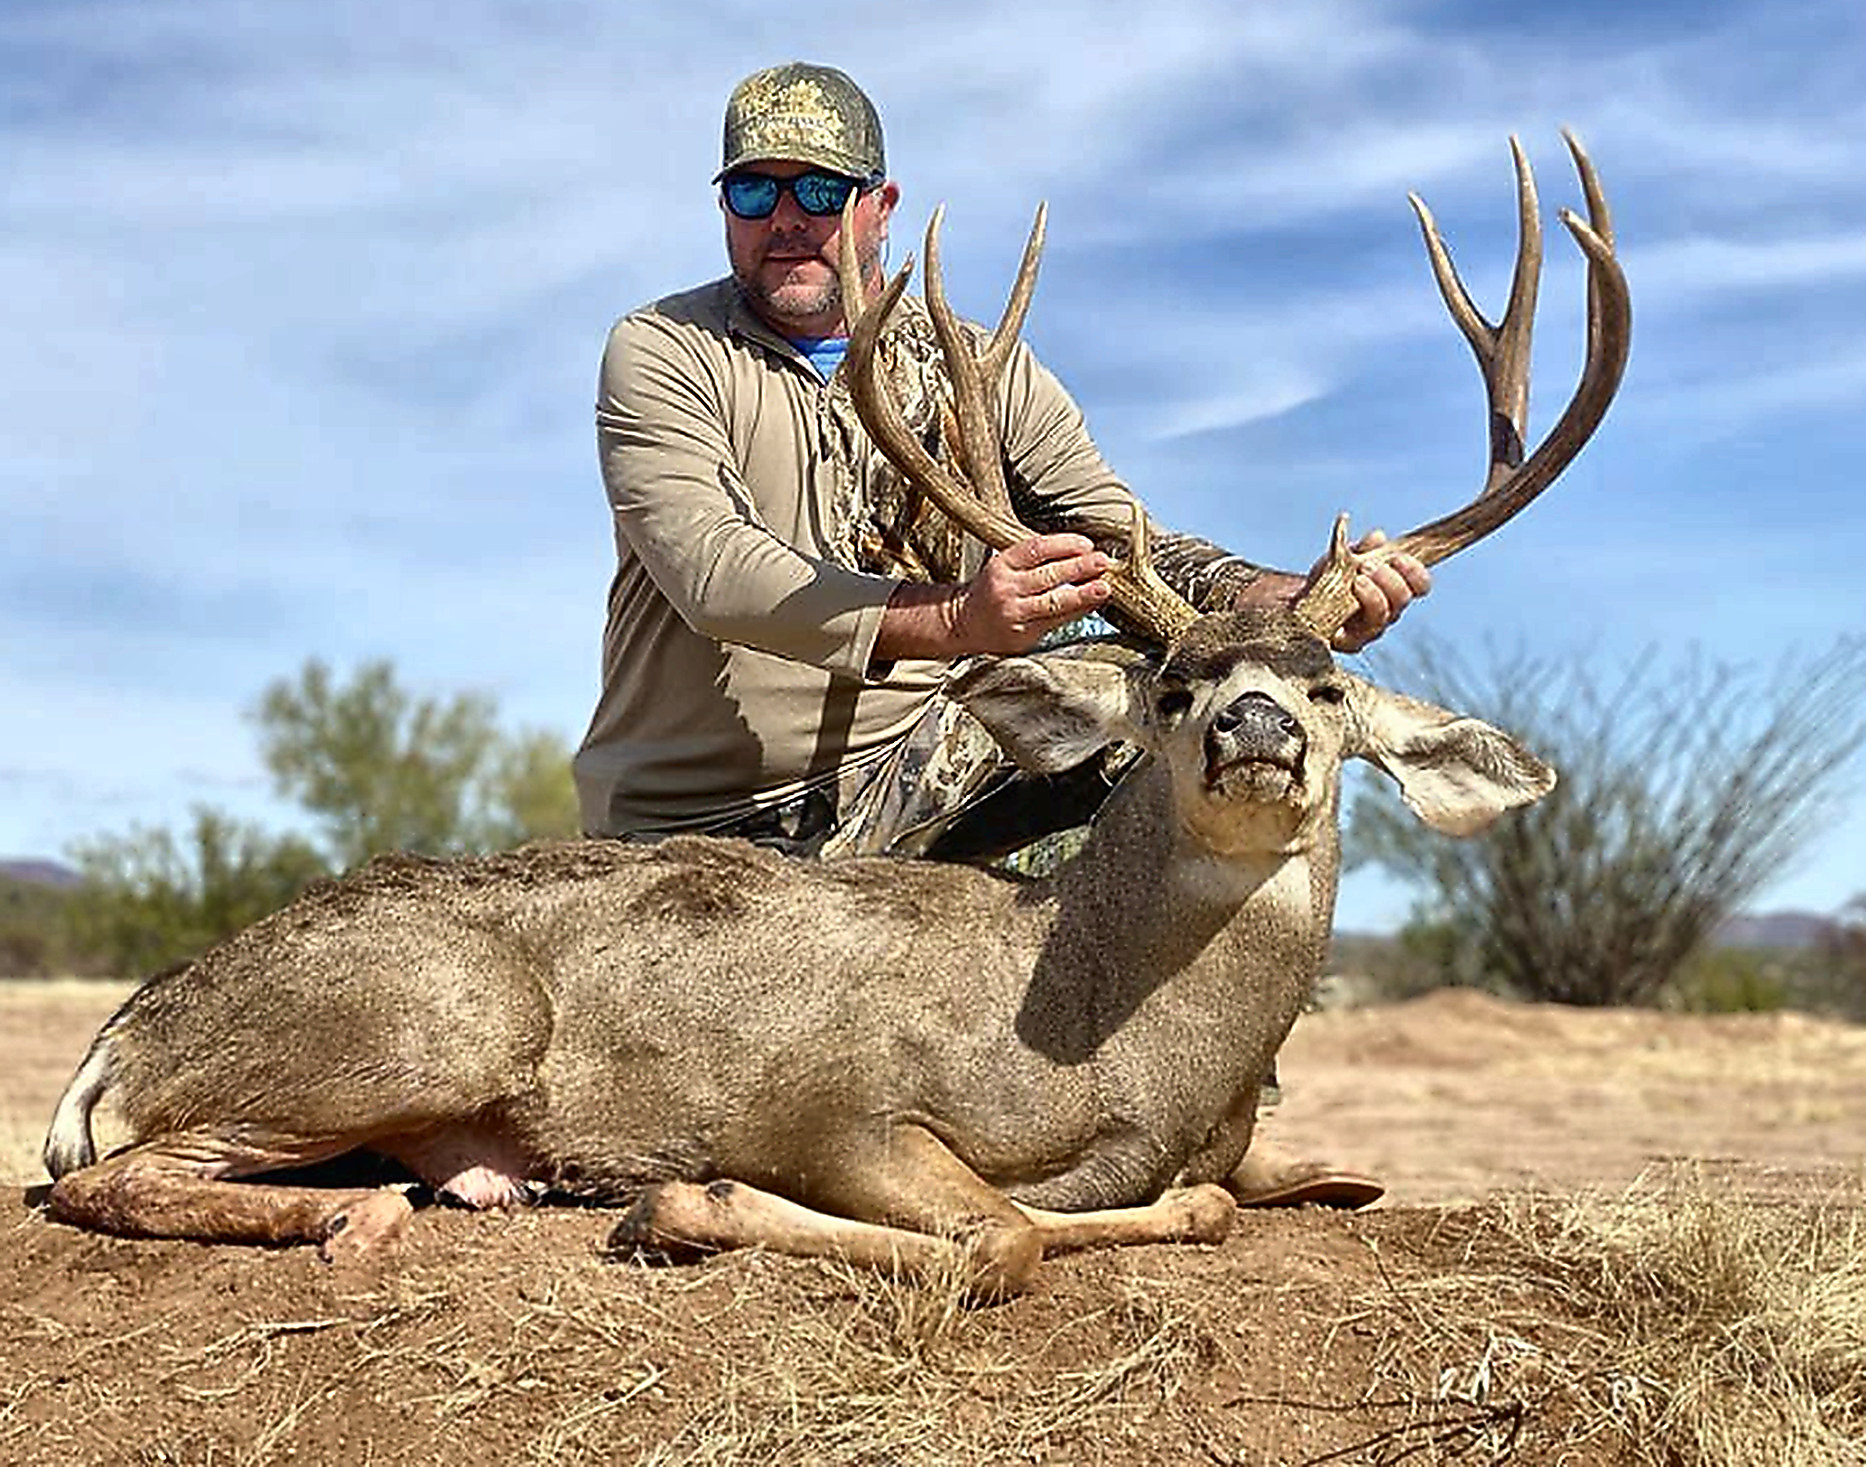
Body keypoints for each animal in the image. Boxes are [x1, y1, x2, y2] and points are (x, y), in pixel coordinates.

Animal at [40, 134, 1628, 1297]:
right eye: (1172, 689)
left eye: (1328, 686)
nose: (1253, 731)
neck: (1113, 1047)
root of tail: (124, 1028)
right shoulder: (844, 1106)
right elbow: (1002, 1231)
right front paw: (684, 1200)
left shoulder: (1183, 1156)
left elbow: (1208, 1205)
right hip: (436, 1019)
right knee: (103, 1175)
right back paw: (359, 1217)